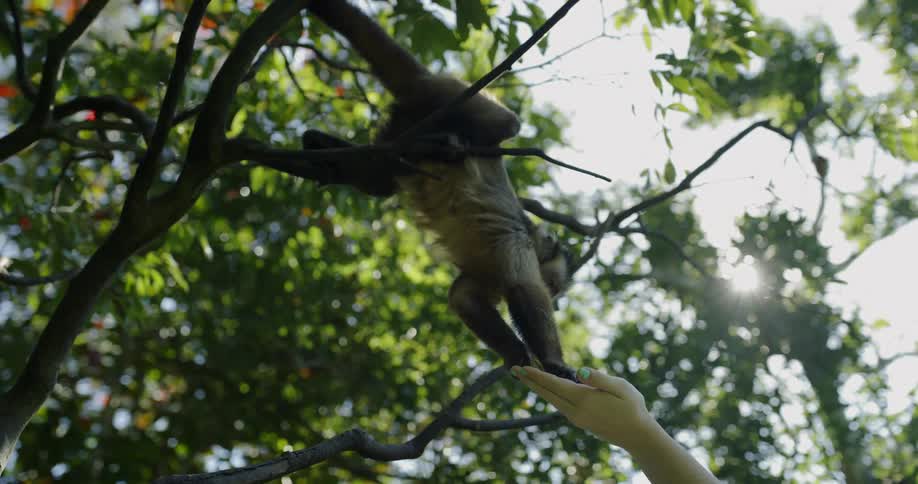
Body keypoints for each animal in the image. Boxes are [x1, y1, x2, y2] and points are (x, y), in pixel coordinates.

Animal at [281, 0, 576, 379]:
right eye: (553, 286)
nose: (555, 297)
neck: (531, 231)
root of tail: (427, 83)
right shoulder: (517, 241)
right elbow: (522, 287)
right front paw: (555, 364)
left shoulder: (486, 275)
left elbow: (462, 298)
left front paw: (517, 356)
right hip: (450, 96)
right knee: (505, 124)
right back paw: (440, 144)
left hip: (407, 117)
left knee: (378, 178)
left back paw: (325, 145)